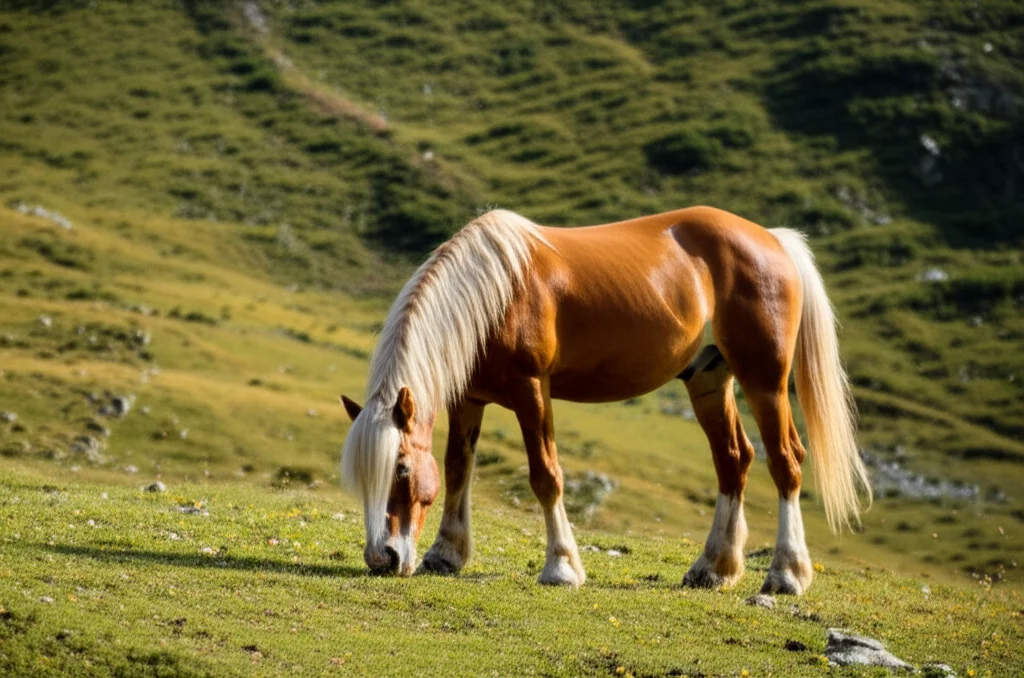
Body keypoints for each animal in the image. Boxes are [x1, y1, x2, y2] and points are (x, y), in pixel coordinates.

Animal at [339, 206, 871, 594]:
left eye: (400, 470)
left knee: (786, 462)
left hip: (765, 381)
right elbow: (456, 469)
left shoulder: (532, 390)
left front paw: (561, 567)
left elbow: (545, 476)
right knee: (733, 460)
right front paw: (446, 553)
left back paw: (786, 574)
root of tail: (773, 239)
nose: (382, 558)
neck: (495, 294)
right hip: (708, 379)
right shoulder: (470, 397)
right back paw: (713, 568)